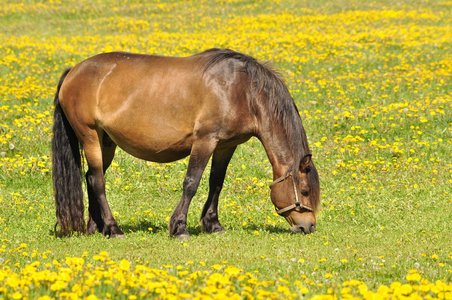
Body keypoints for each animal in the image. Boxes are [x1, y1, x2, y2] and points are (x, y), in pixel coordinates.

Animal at [52, 47, 322, 239]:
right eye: (305, 191)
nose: (308, 227)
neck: (242, 90)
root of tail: (74, 71)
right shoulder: (205, 140)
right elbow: (191, 182)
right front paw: (179, 227)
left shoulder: (225, 145)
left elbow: (216, 183)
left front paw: (213, 224)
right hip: (90, 136)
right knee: (98, 181)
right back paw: (114, 228)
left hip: (105, 142)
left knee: (91, 177)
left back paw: (96, 228)